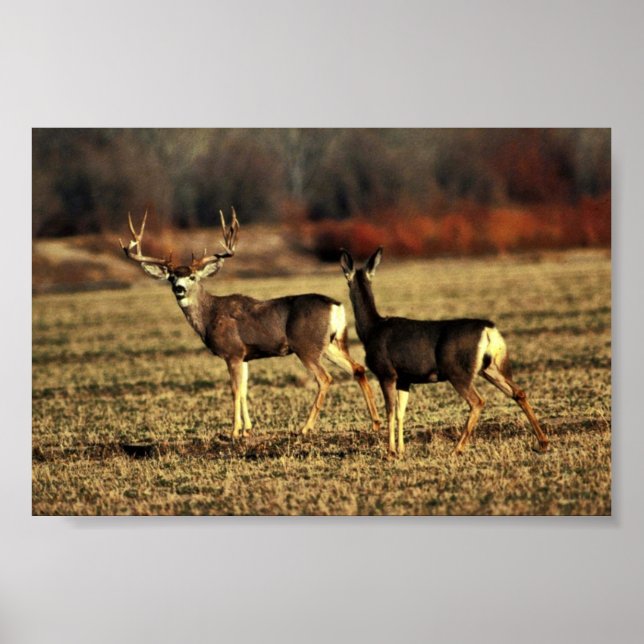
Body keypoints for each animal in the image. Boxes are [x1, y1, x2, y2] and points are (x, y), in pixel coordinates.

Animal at [120, 209, 381, 442]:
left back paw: (305, 428)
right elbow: (245, 389)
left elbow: (235, 390)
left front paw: (234, 431)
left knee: (325, 378)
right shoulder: (245, 356)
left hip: (306, 346)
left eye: (192, 277)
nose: (179, 289)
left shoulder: (232, 352)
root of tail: (336, 307)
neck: (209, 316)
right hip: (331, 344)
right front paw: (248, 429)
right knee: (358, 368)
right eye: (172, 277)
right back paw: (375, 423)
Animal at [339, 246, 549, 457]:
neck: (371, 330)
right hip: (490, 367)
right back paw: (543, 442)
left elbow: (390, 412)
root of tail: (489, 330)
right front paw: (401, 450)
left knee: (478, 401)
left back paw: (457, 449)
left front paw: (390, 453)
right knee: (518, 392)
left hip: (457, 370)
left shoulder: (386, 372)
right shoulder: (405, 378)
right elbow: (400, 413)